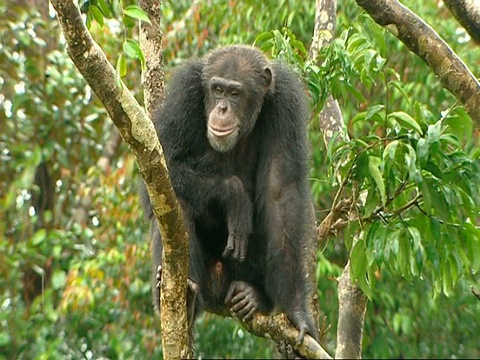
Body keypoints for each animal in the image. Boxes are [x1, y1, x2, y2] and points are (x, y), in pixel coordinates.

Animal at [143, 45, 322, 344]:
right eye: (217, 89)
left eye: (235, 93)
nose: (222, 108)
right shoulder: (184, 94)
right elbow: (164, 165)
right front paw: (234, 196)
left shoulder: (286, 104)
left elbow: (279, 194)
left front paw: (297, 310)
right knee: (175, 204)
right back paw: (186, 297)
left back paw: (254, 295)